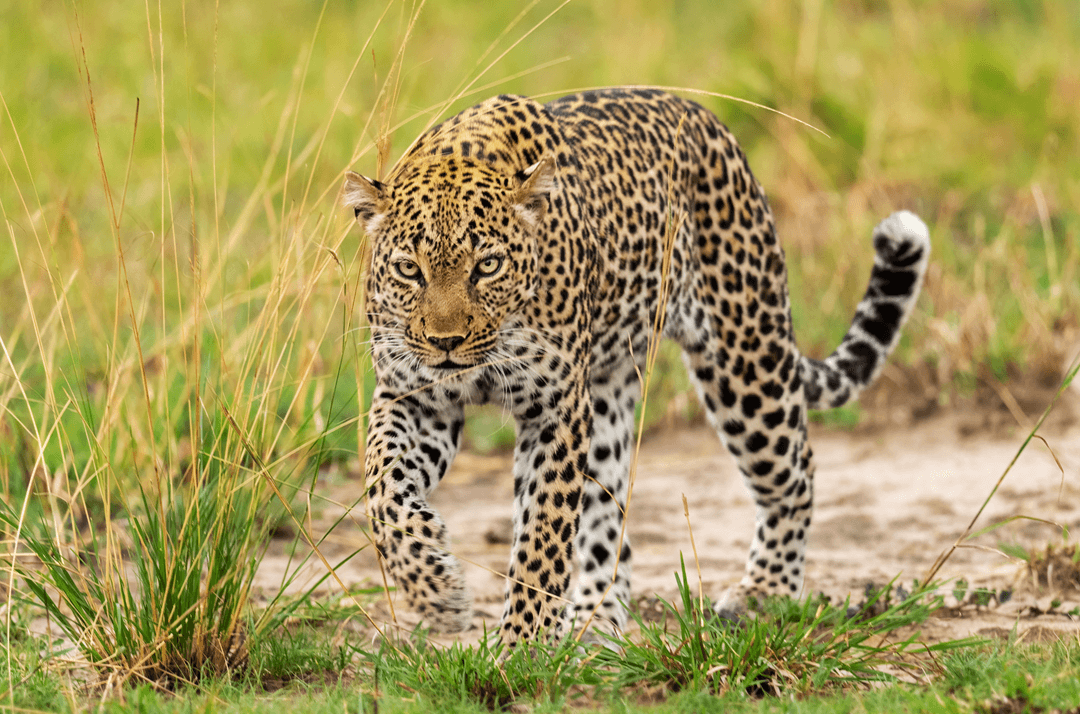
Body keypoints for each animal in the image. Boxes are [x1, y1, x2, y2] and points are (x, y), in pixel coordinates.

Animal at [343, 86, 928, 643]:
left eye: (487, 266)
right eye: (408, 269)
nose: (446, 341)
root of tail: (707, 119)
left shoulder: (556, 409)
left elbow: (542, 537)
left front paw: (520, 648)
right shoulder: (414, 399)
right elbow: (382, 489)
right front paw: (437, 592)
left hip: (745, 358)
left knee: (794, 472)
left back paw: (764, 592)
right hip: (609, 394)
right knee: (608, 524)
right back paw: (593, 624)